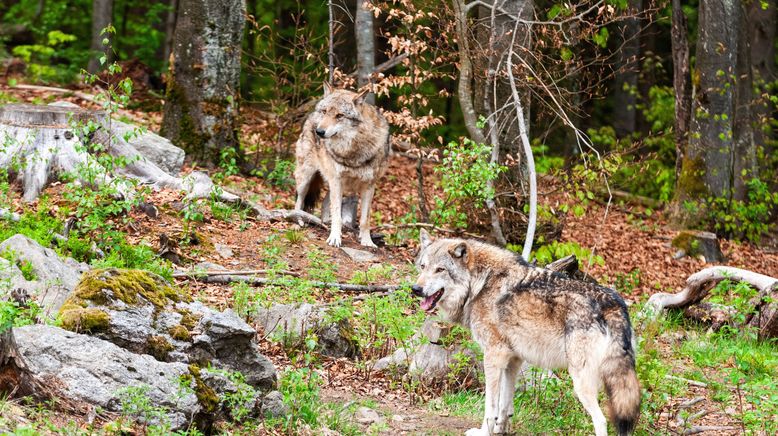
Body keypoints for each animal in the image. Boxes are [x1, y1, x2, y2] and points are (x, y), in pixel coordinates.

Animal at [292, 83, 388, 247]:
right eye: (325, 112)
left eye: (339, 116)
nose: (319, 131)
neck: (353, 152)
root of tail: (312, 114)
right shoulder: (336, 180)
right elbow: (337, 214)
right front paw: (335, 238)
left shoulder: (369, 186)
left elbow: (365, 219)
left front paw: (367, 241)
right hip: (306, 178)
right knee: (299, 201)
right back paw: (299, 221)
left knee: (325, 202)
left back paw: (324, 223)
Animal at [412, 230, 636, 434]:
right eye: (423, 266)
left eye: (440, 269)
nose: (415, 289)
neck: (479, 283)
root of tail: (613, 304)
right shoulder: (513, 359)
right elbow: (505, 405)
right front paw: (500, 430)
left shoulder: (493, 356)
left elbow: (490, 406)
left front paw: (484, 432)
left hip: (581, 381)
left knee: (601, 420)